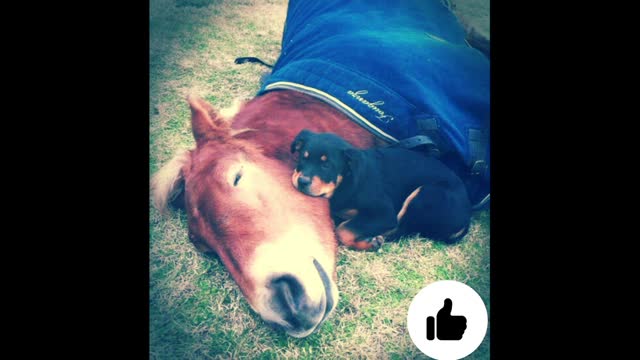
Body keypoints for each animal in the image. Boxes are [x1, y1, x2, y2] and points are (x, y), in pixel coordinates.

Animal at [292, 129, 472, 250]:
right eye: (303, 158)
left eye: (326, 165)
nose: (302, 181)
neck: (345, 182)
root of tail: (466, 216)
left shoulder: (384, 213)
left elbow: (343, 229)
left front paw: (369, 243)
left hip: (426, 194)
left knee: (400, 230)